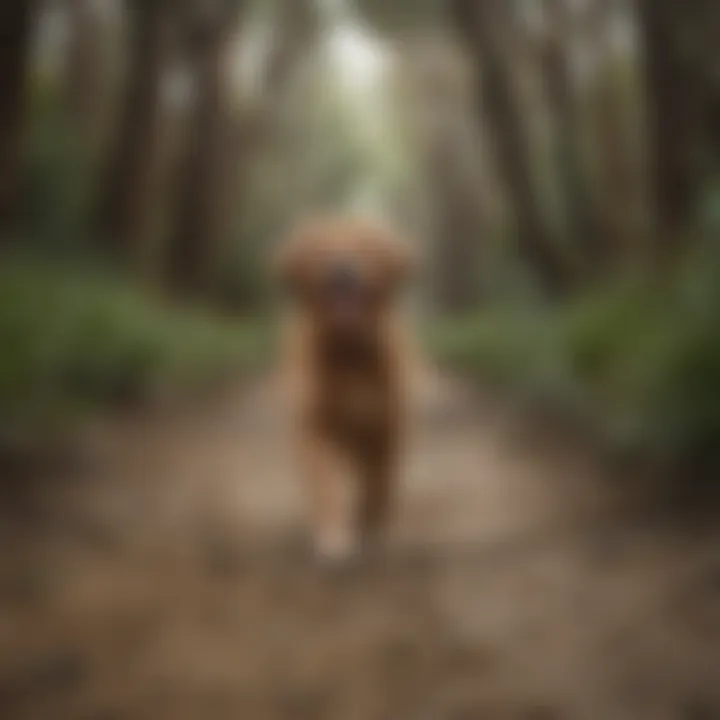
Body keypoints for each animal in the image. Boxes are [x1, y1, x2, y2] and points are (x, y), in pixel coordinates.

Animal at [270, 215, 416, 564]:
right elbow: (327, 484)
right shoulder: (316, 427)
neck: (350, 355)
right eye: (322, 249)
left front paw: (375, 528)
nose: (342, 269)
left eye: (365, 246)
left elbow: (379, 484)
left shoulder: (385, 428)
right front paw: (334, 537)